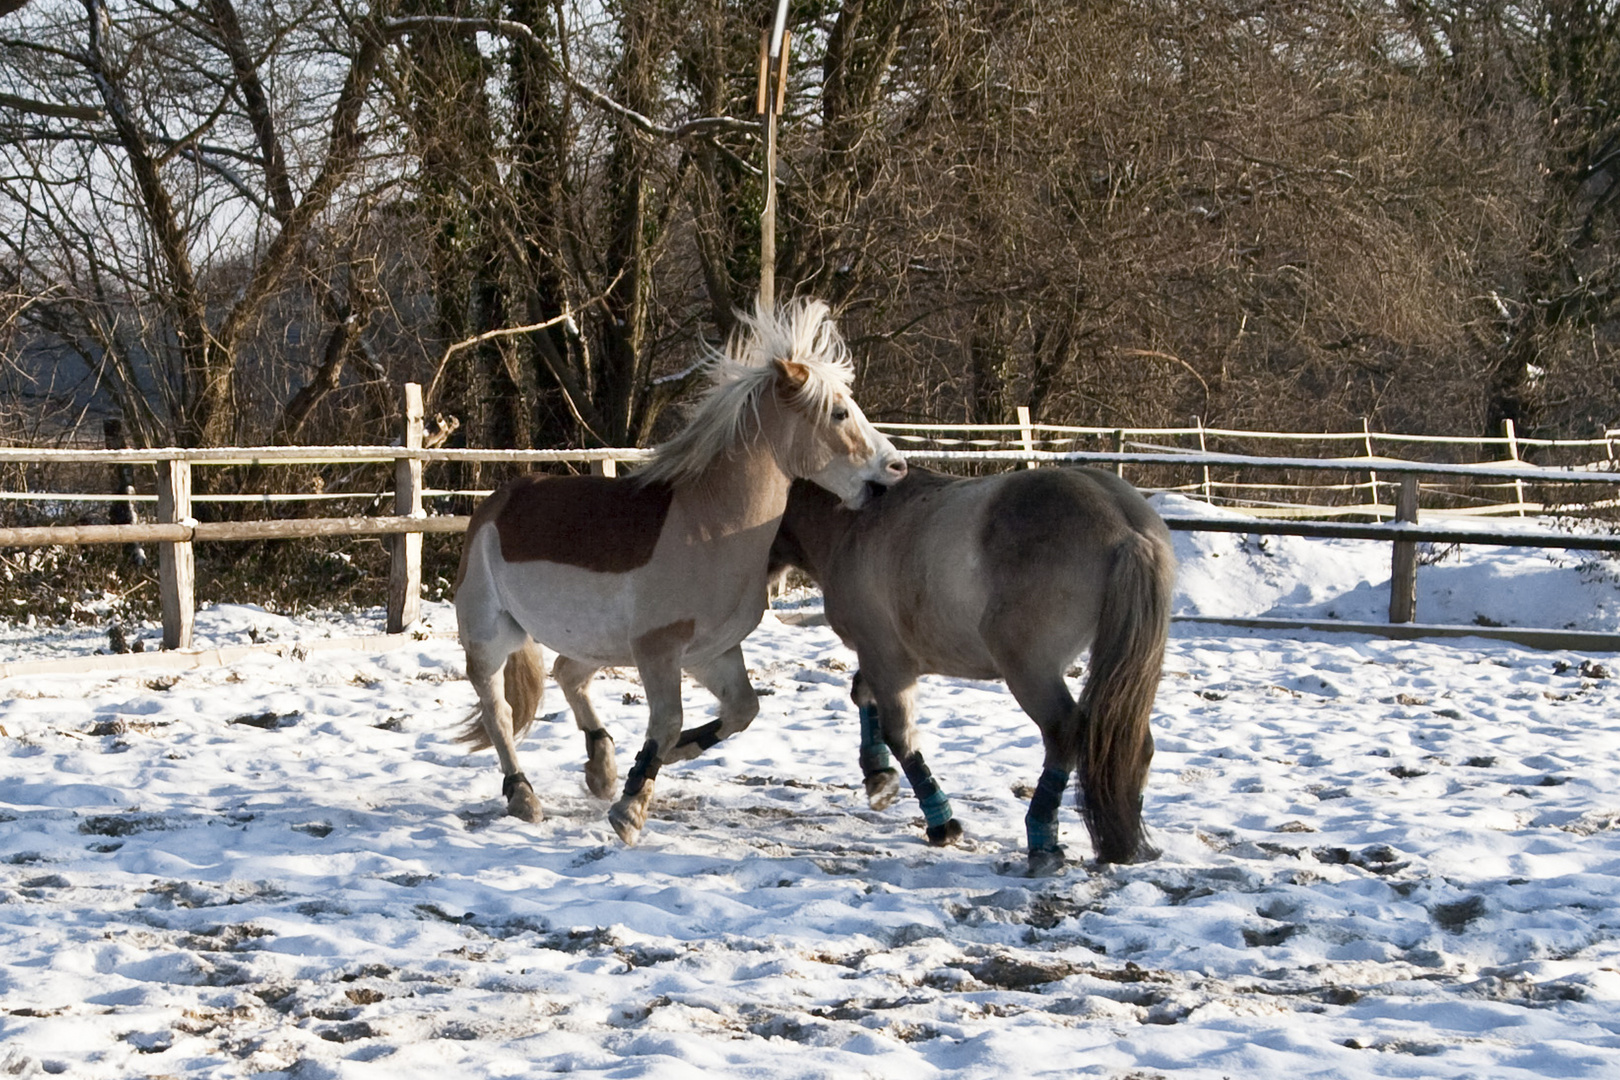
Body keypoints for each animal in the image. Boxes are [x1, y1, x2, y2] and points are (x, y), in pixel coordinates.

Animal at [450, 299, 907, 848]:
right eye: (839, 412)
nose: (896, 468)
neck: (710, 527)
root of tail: (495, 503)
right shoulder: (659, 650)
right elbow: (668, 721)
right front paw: (630, 812)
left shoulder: (712, 651)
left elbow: (742, 711)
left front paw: (665, 761)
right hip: (491, 635)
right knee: (498, 711)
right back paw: (524, 796)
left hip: (596, 643)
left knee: (566, 674)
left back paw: (601, 768)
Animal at [764, 469, 1172, 874]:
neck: (854, 522)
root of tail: (1124, 526)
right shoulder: (888, 659)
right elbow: (862, 693)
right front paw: (877, 777)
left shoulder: (885, 656)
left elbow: (899, 734)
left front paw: (940, 823)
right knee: (1135, 744)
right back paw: (1123, 841)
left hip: (1029, 670)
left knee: (1064, 732)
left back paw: (1044, 840)